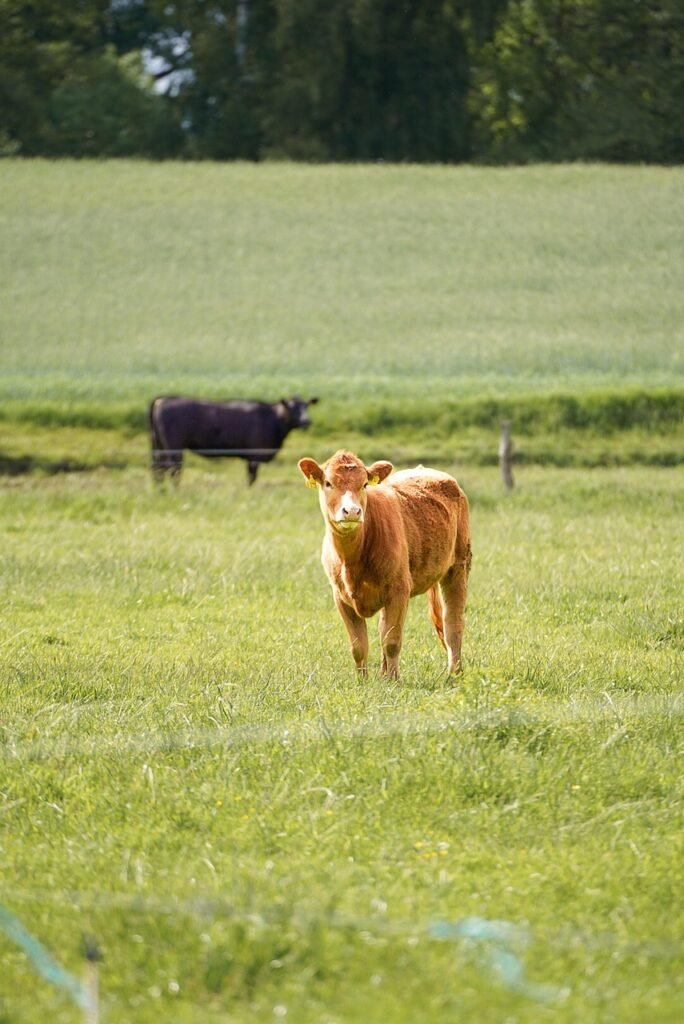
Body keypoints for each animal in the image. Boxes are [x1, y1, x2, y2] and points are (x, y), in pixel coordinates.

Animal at [149, 395, 318, 485]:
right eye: (292, 407)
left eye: (306, 406)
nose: (306, 421)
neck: (273, 418)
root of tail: (164, 398)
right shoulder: (255, 456)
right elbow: (252, 477)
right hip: (174, 447)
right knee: (173, 468)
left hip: (159, 446)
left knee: (159, 468)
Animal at [298, 449, 471, 678]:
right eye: (328, 483)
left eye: (364, 484)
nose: (352, 511)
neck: (352, 559)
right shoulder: (340, 596)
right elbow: (359, 645)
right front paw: (363, 681)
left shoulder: (399, 590)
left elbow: (392, 642)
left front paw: (394, 681)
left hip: (459, 565)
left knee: (453, 624)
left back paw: (454, 675)